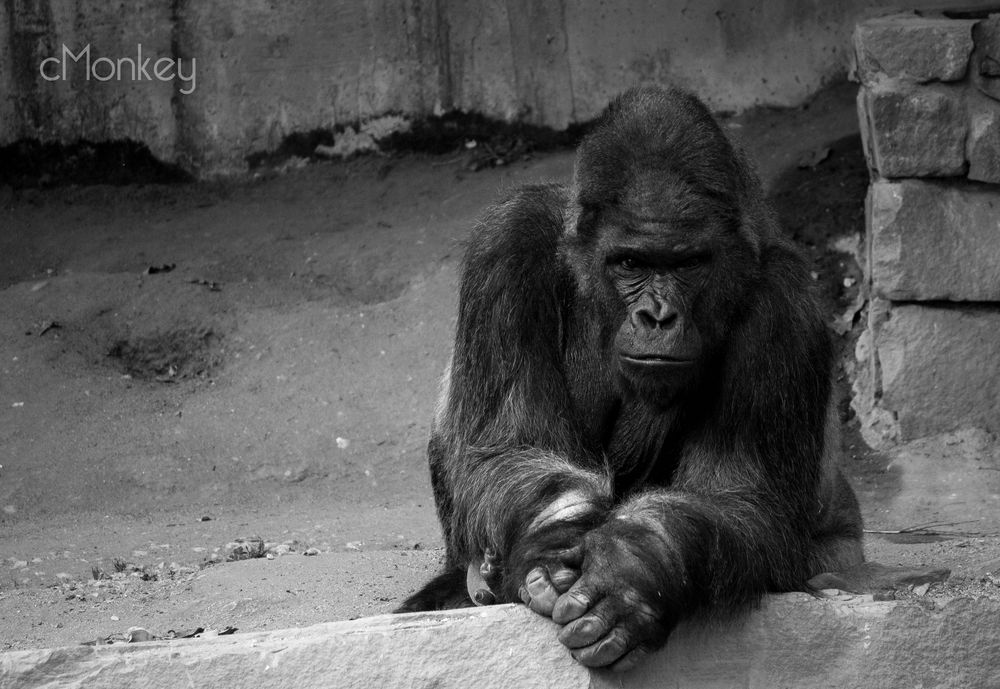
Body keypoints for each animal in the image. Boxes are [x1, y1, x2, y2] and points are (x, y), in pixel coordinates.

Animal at [394, 83, 864, 668]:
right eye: (631, 263)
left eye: (687, 264)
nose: (657, 316)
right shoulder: (506, 243)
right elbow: (508, 447)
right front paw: (555, 533)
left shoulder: (785, 301)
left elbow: (740, 502)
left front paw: (634, 566)